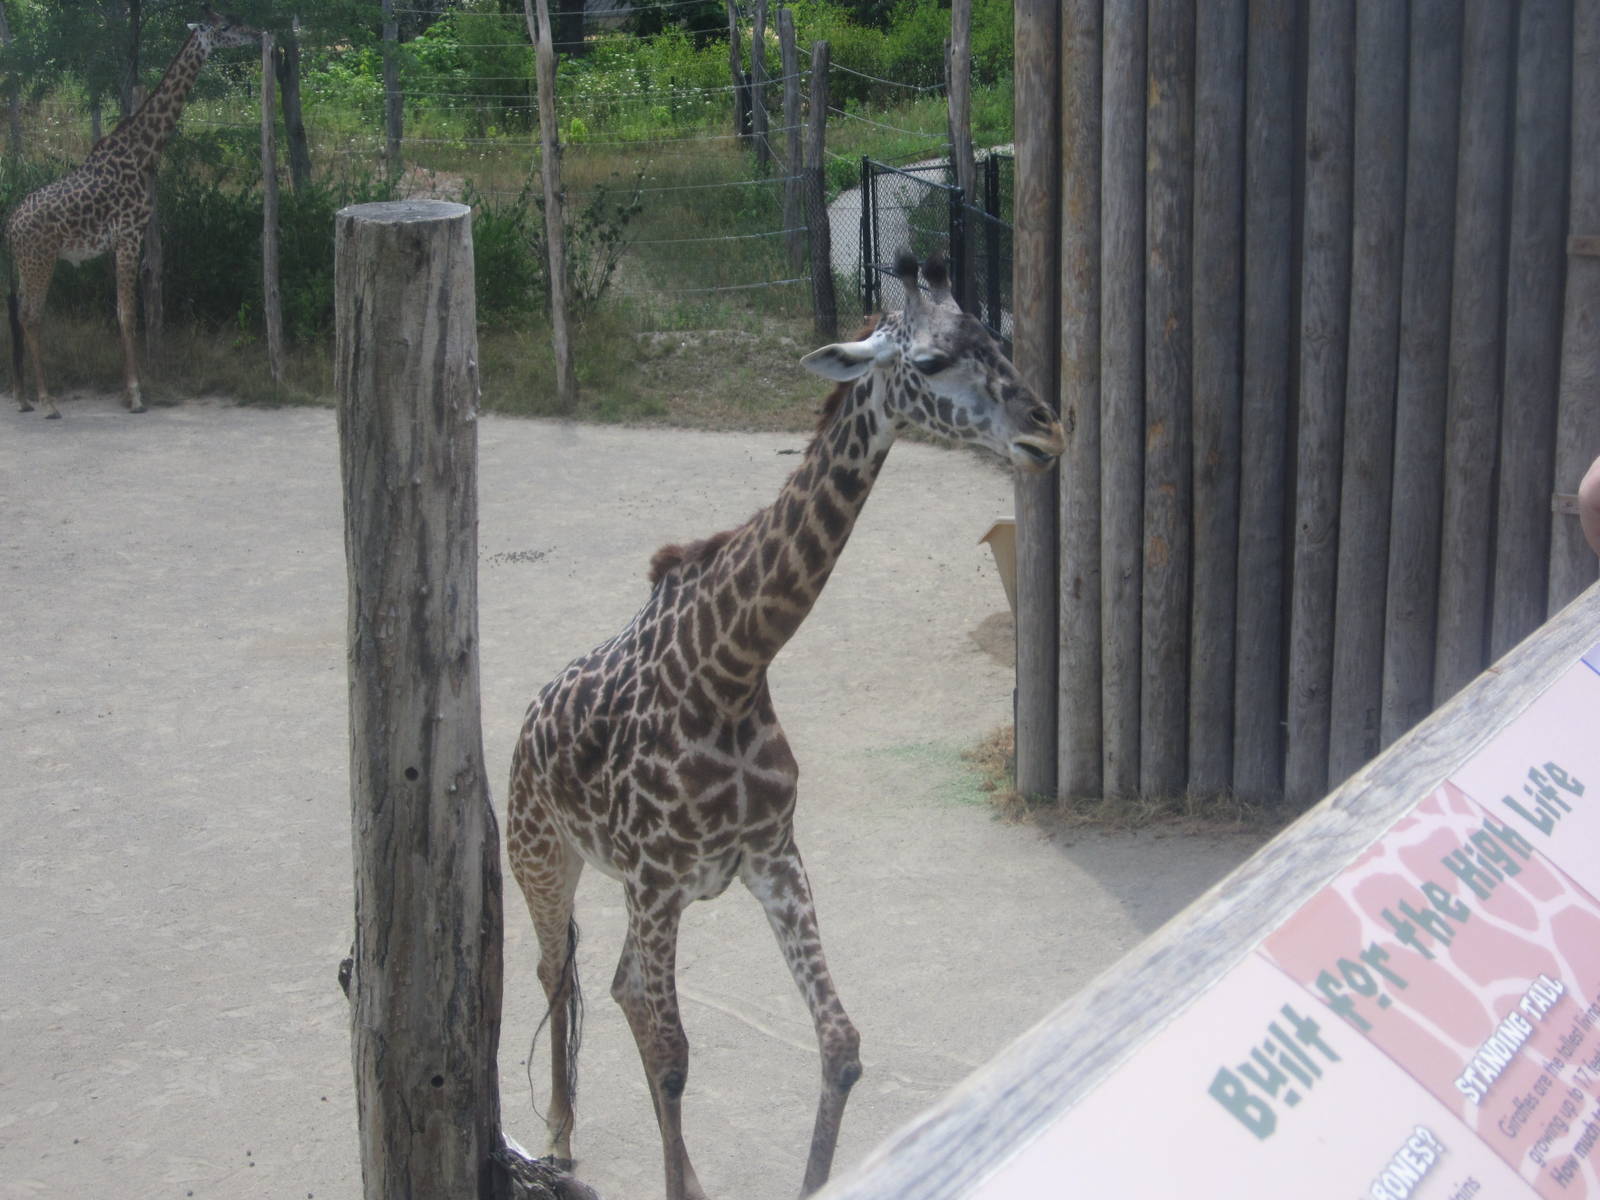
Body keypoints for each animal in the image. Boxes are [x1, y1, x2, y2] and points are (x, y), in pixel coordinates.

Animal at [5, 8, 258, 419]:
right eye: (225, 27)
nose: (255, 33)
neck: (143, 152)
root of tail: (10, 225)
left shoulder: (122, 240)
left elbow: (123, 312)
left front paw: (131, 392)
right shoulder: (129, 235)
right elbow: (127, 315)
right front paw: (136, 396)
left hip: (25, 265)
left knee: (17, 314)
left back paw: (23, 396)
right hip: (41, 260)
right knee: (31, 316)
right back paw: (47, 402)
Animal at [506, 250, 1064, 1200]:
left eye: (998, 341)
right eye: (932, 362)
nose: (1047, 432)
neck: (728, 671)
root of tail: (524, 725)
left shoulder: (770, 858)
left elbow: (839, 1044)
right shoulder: (657, 881)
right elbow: (675, 1057)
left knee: (618, 987)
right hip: (545, 860)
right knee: (560, 972)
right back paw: (558, 1135)